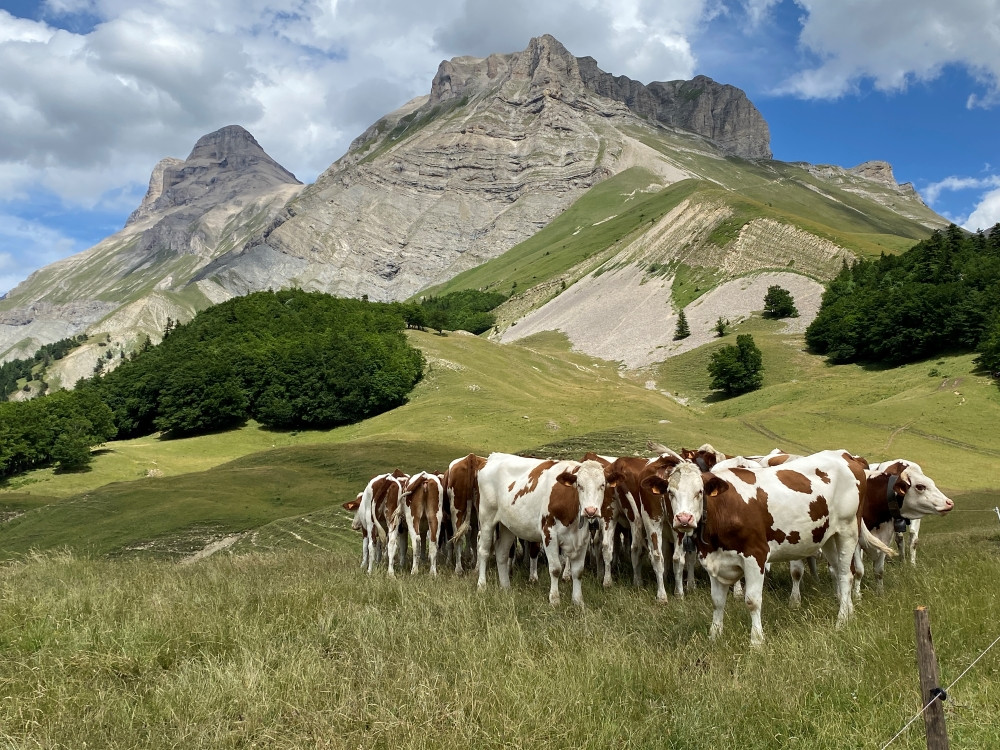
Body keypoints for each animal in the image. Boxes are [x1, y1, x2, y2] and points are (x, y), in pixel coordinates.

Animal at [476, 456, 616, 608]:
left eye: (602, 485)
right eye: (579, 485)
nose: (590, 510)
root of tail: (492, 458)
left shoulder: (582, 539)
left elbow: (578, 572)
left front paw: (578, 601)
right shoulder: (549, 534)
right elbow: (555, 569)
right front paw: (554, 600)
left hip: (507, 525)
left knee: (501, 552)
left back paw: (505, 586)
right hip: (486, 518)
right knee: (483, 551)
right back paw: (481, 585)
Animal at [648, 450, 900, 648]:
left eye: (699, 492)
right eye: (670, 492)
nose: (684, 519)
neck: (725, 509)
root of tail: (844, 455)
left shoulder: (755, 555)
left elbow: (752, 601)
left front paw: (756, 642)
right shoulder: (714, 561)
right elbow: (717, 601)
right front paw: (714, 636)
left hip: (847, 530)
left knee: (847, 574)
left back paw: (841, 620)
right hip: (828, 537)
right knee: (840, 573)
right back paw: (848, 612)